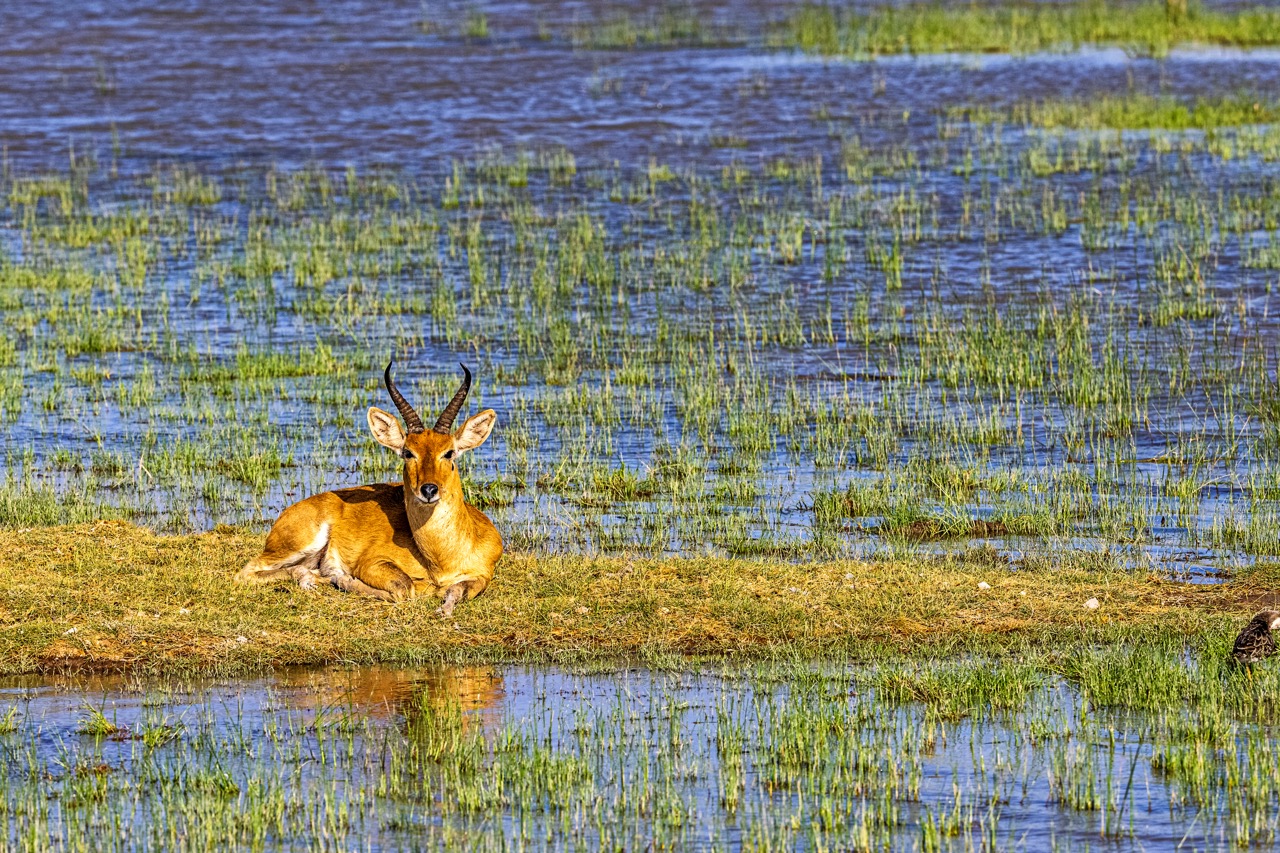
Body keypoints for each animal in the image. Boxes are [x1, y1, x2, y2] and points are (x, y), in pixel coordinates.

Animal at [234, 361, 502, 616]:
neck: (440, 561)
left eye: (449, 452)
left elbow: (458, 591)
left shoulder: (482, 575)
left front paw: (444, 609)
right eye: (408, 452)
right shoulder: (373, 563)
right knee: (247, 571)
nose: (428, 490)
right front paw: (344, 579)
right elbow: (404, 588)